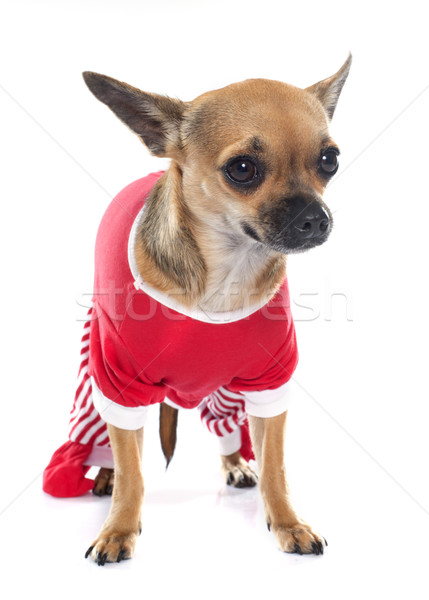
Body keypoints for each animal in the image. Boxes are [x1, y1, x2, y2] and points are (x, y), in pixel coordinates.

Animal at [81, 55, 352, 564]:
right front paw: (119, 528)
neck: (225, 273)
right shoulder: (120, 383)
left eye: (329, 160)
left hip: (224, 390)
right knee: (113, 447)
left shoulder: (268, 384)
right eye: (242, 169)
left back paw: (235, 462)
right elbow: (132, 471)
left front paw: (287, 522)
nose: (316, 218)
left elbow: (275, 466)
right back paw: (104, 474)